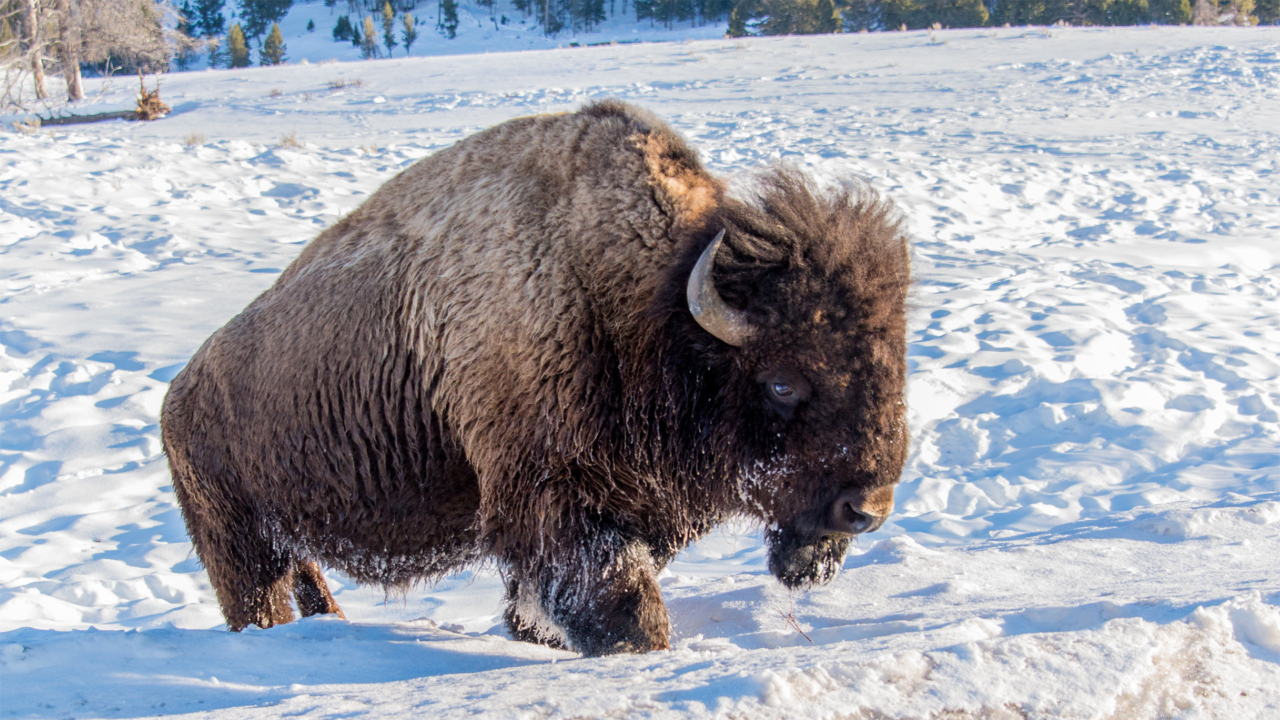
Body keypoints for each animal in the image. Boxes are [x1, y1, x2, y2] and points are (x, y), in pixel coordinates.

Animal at [162, 101, 911, 655]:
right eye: (782, 382)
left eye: (893, 360)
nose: (866, 510)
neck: (638, 303)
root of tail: (176, 396)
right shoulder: (555, 498)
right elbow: (625, 605)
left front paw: (534, 635)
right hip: (242, 549)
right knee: (259, 605)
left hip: (289, 548)